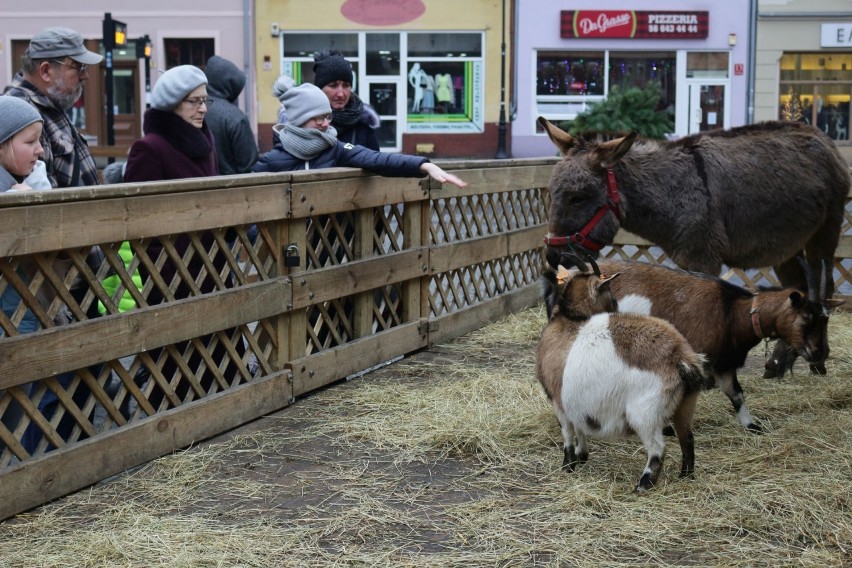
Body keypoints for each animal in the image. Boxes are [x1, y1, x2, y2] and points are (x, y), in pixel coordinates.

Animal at [540, 260, 712, 490]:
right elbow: (579, 427)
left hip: (645, 412)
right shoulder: (574, 403)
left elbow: (568, 432)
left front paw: (568, 465)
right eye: (611, 297)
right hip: (685, 405)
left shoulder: (559, 401)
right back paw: (685, 475)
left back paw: (644, 484)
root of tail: (681, 357)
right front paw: (581, 456)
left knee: (658, 448)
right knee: (687, 439)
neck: (568, 321)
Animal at [596, 260, 844, 432]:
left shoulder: (725, 362)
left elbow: (736, 393)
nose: (820, 353)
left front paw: (752, 426)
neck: (732, 312)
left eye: (826, 319)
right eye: (806, 316)